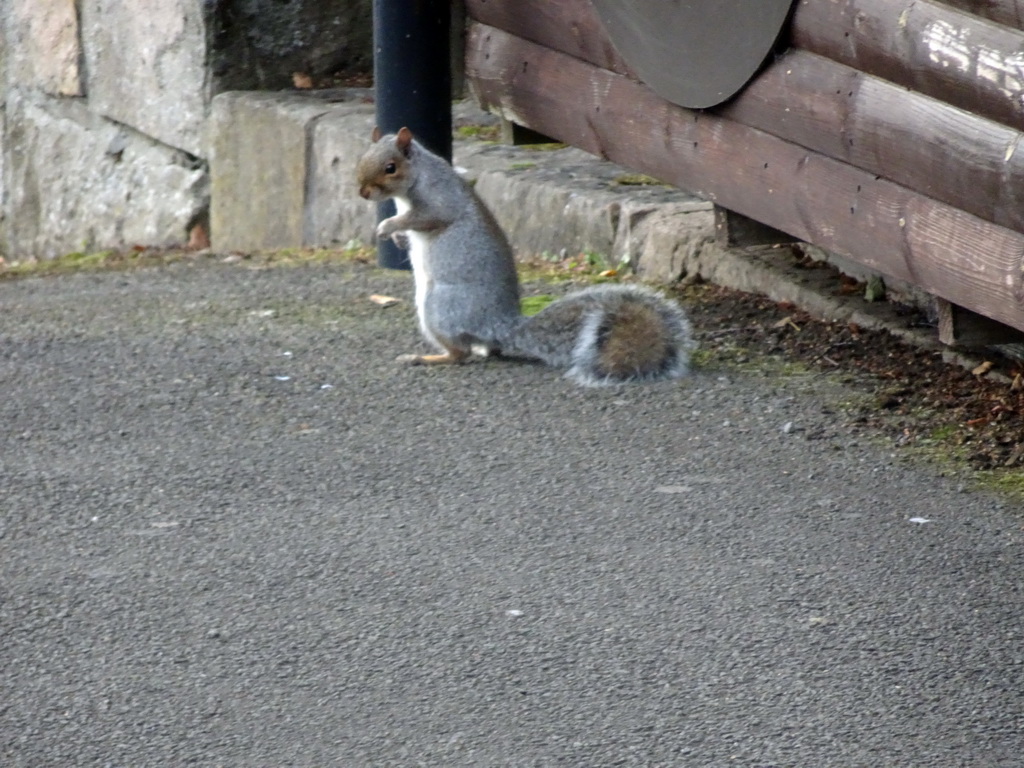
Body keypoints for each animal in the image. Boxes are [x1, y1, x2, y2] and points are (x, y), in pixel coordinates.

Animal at [354, 130, 696, 391]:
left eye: (390, 167)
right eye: (362, 158)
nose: (363, 193)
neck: (417, 178)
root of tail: (499, 326)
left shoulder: (439, 199)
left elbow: (427, 217)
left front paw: (387, 228)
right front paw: (397, 237)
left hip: (439, 308)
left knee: (460, 353)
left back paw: (426, 358)